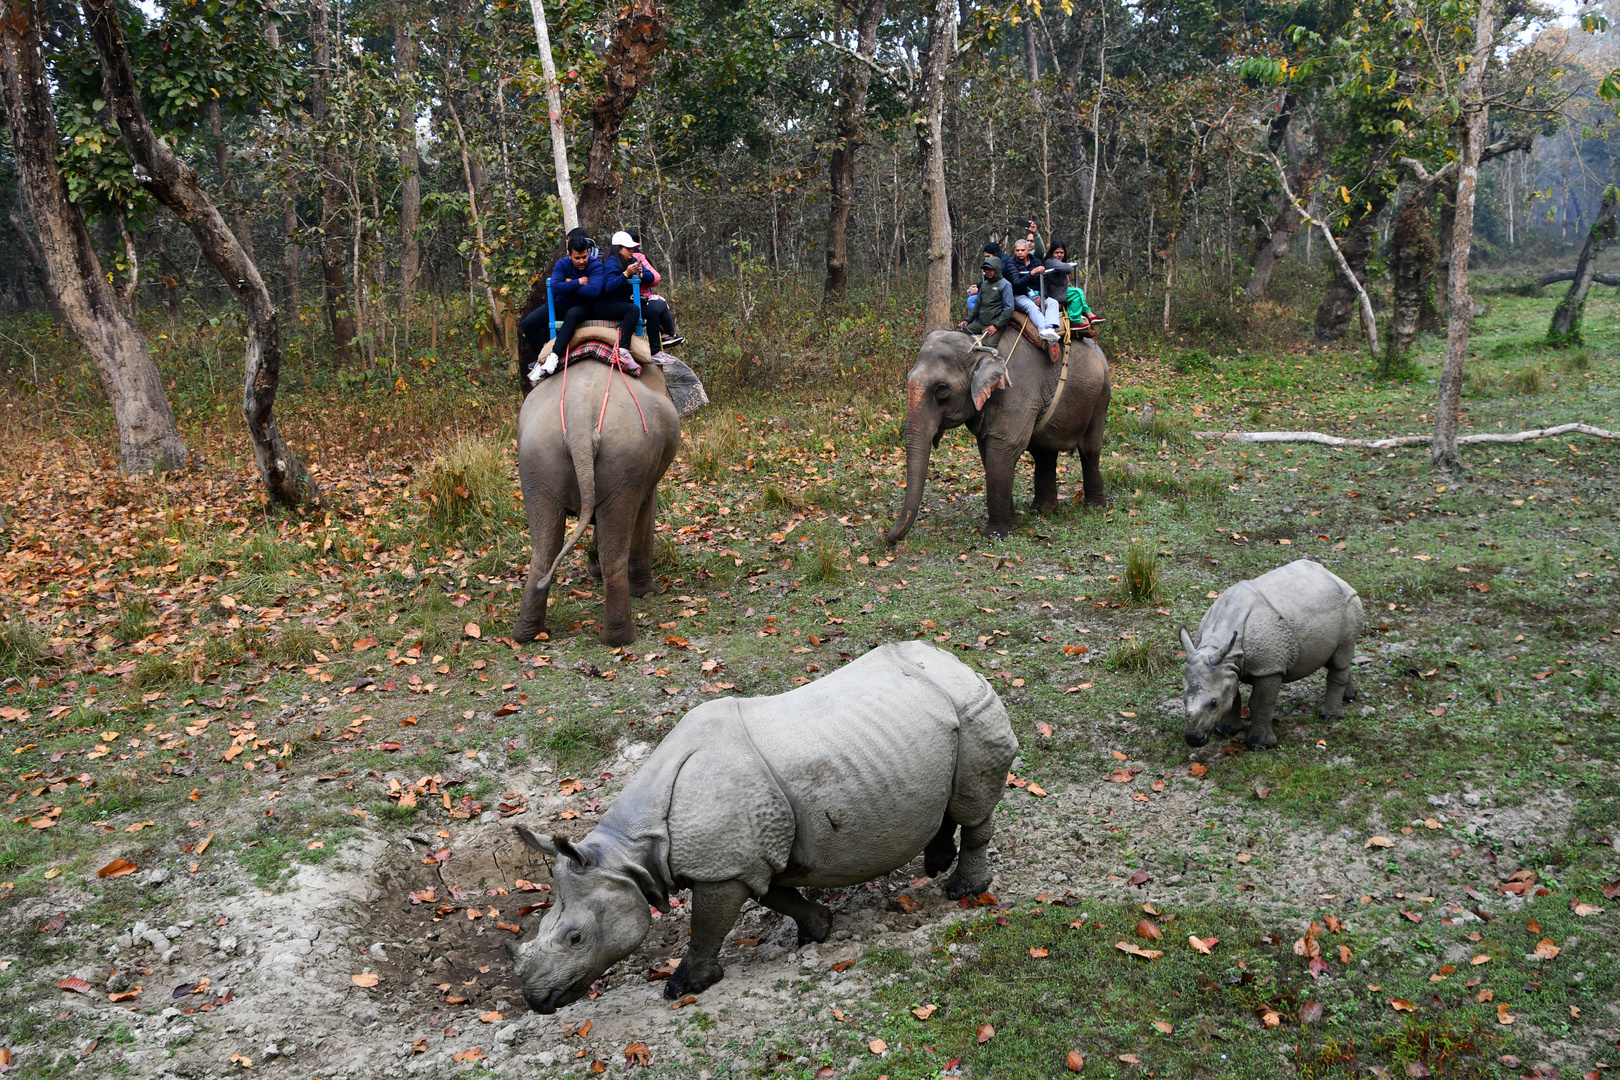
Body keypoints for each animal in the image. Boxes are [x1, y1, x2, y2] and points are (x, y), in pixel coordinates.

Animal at [511, 359, 677, 647]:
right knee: (615, 550)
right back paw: (621, 637)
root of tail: (580, 415)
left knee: (543, 550)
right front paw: (647, 593)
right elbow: (647, 505)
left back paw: (528, 634)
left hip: (536, 462)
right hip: (626, 460)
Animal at [887, 318, 1114, 540]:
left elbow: (1004, 448)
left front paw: (996, 534)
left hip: (1101, 396)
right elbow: (987, 451)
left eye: (941, 389)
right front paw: (1012, 525)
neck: (980, 347)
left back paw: (1094, 507)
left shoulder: (1016, 391)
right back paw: (1043, 511)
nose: (887, 538)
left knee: (1090, 449)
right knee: (1045, 454)